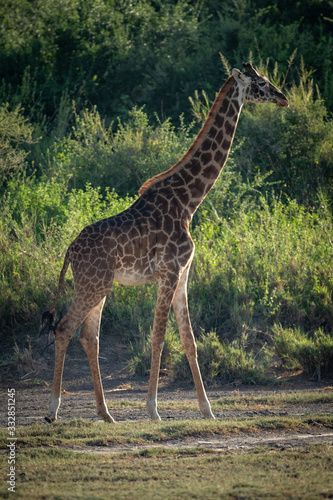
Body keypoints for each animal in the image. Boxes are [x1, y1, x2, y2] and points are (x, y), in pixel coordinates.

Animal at [44, 61, 288, 422]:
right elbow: (158, 338)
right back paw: (53, 410)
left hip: (99, 286)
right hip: (93, 285)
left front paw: (207, 410)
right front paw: (153, 410)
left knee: (89, 337)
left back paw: (106, 414)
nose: (283, 98)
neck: (189, 201)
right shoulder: (169, 272)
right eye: (261, 83)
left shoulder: (183, 274)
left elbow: (189, 341)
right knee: (64, 328)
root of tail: (70, 251)